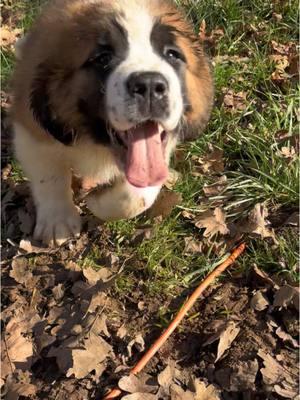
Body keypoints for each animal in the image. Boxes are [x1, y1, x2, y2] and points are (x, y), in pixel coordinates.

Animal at [11, 0, 213, 245]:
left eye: (173, 54)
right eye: (103, 58)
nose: (149, 85)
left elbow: (137, 194)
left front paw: (96, 201)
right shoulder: (31, 129)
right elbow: (49, 177)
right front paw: (57, 222)